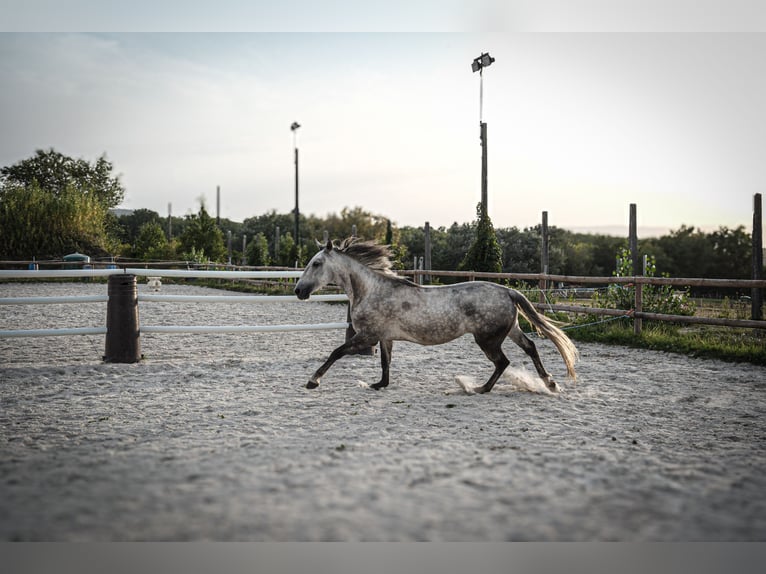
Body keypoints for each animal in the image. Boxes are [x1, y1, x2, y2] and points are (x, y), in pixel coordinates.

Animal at [294, 238, 578, 394]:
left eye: (316, 263)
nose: (298, 291)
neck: (372, 290)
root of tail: (508, 291)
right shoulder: (385, 338)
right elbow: (385, 364)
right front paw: (378, 385)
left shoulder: (367, 336)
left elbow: (336, 352)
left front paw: (312, 381)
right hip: (510, 331)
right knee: (530, 348)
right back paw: (550, 384)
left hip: (487, 339)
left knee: (503, 362)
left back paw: (479, 389)